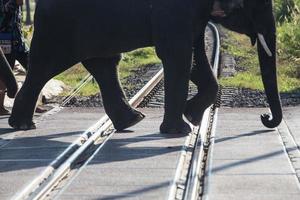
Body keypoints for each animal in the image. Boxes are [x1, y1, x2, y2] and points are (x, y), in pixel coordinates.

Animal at [8, 0, 244, 134]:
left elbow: (194, 53)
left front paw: (193, 118)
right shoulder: (174, 12)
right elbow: (177, 52)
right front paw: (183, 129)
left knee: (104, 64)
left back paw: (132, 120)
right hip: (59, 26)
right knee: (44, 66)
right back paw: (22, 126)